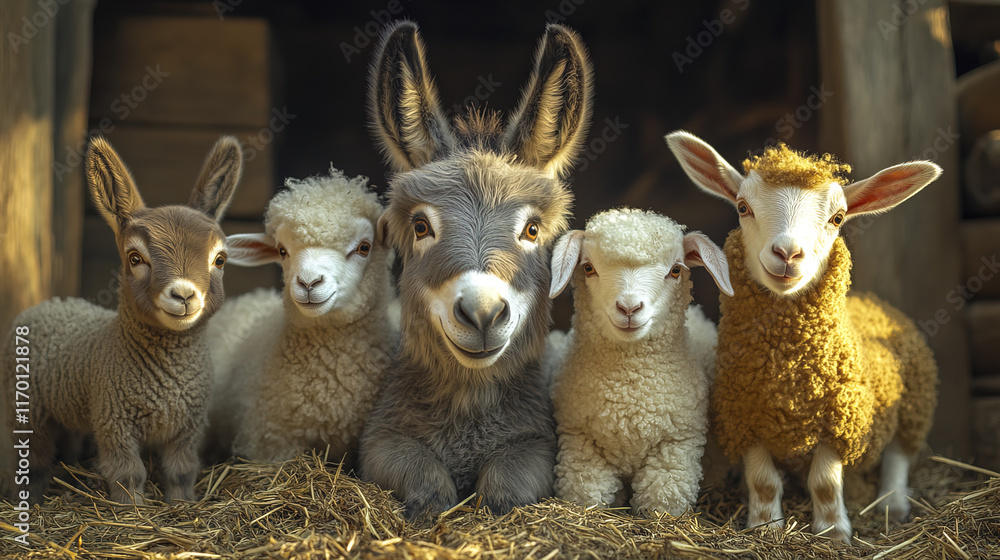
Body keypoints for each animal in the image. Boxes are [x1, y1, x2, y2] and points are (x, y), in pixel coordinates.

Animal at [0, 135, 243, 505]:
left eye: (220, 259)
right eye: (135, 258)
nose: (184, 295)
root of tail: (47, 304)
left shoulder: (188, 427)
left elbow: (182, 471)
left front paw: (182, 505)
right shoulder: (114, 422)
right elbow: (128, 474)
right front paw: (133, 510)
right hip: (26, 408)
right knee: (32, 460)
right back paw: (27, 500)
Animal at [357, 21, 593, 520]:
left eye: (532, 229)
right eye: (421, 226)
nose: (482, 315)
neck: (469, 402)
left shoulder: (538, 443)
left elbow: (509, 480)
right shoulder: (381, 439)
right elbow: (417, 468)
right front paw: (433, 503)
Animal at [546, 208, 733, 516]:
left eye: (675, 270)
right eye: (588, 268)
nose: (629, 308)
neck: (630, 388)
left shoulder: (676, 448)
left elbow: (660, 502)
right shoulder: (580, 444)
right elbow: (586, 495)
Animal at [666, 131, 940, 543]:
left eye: (837, 218)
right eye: (743, 207)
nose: (787, 253)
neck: (788, 371)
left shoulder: (840, 420)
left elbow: (825, 483)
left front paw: (833, 532)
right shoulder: (745, 417)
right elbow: (763, 481)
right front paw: (764, 526)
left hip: (913, 404)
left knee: (898, 458)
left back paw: (892, 503)